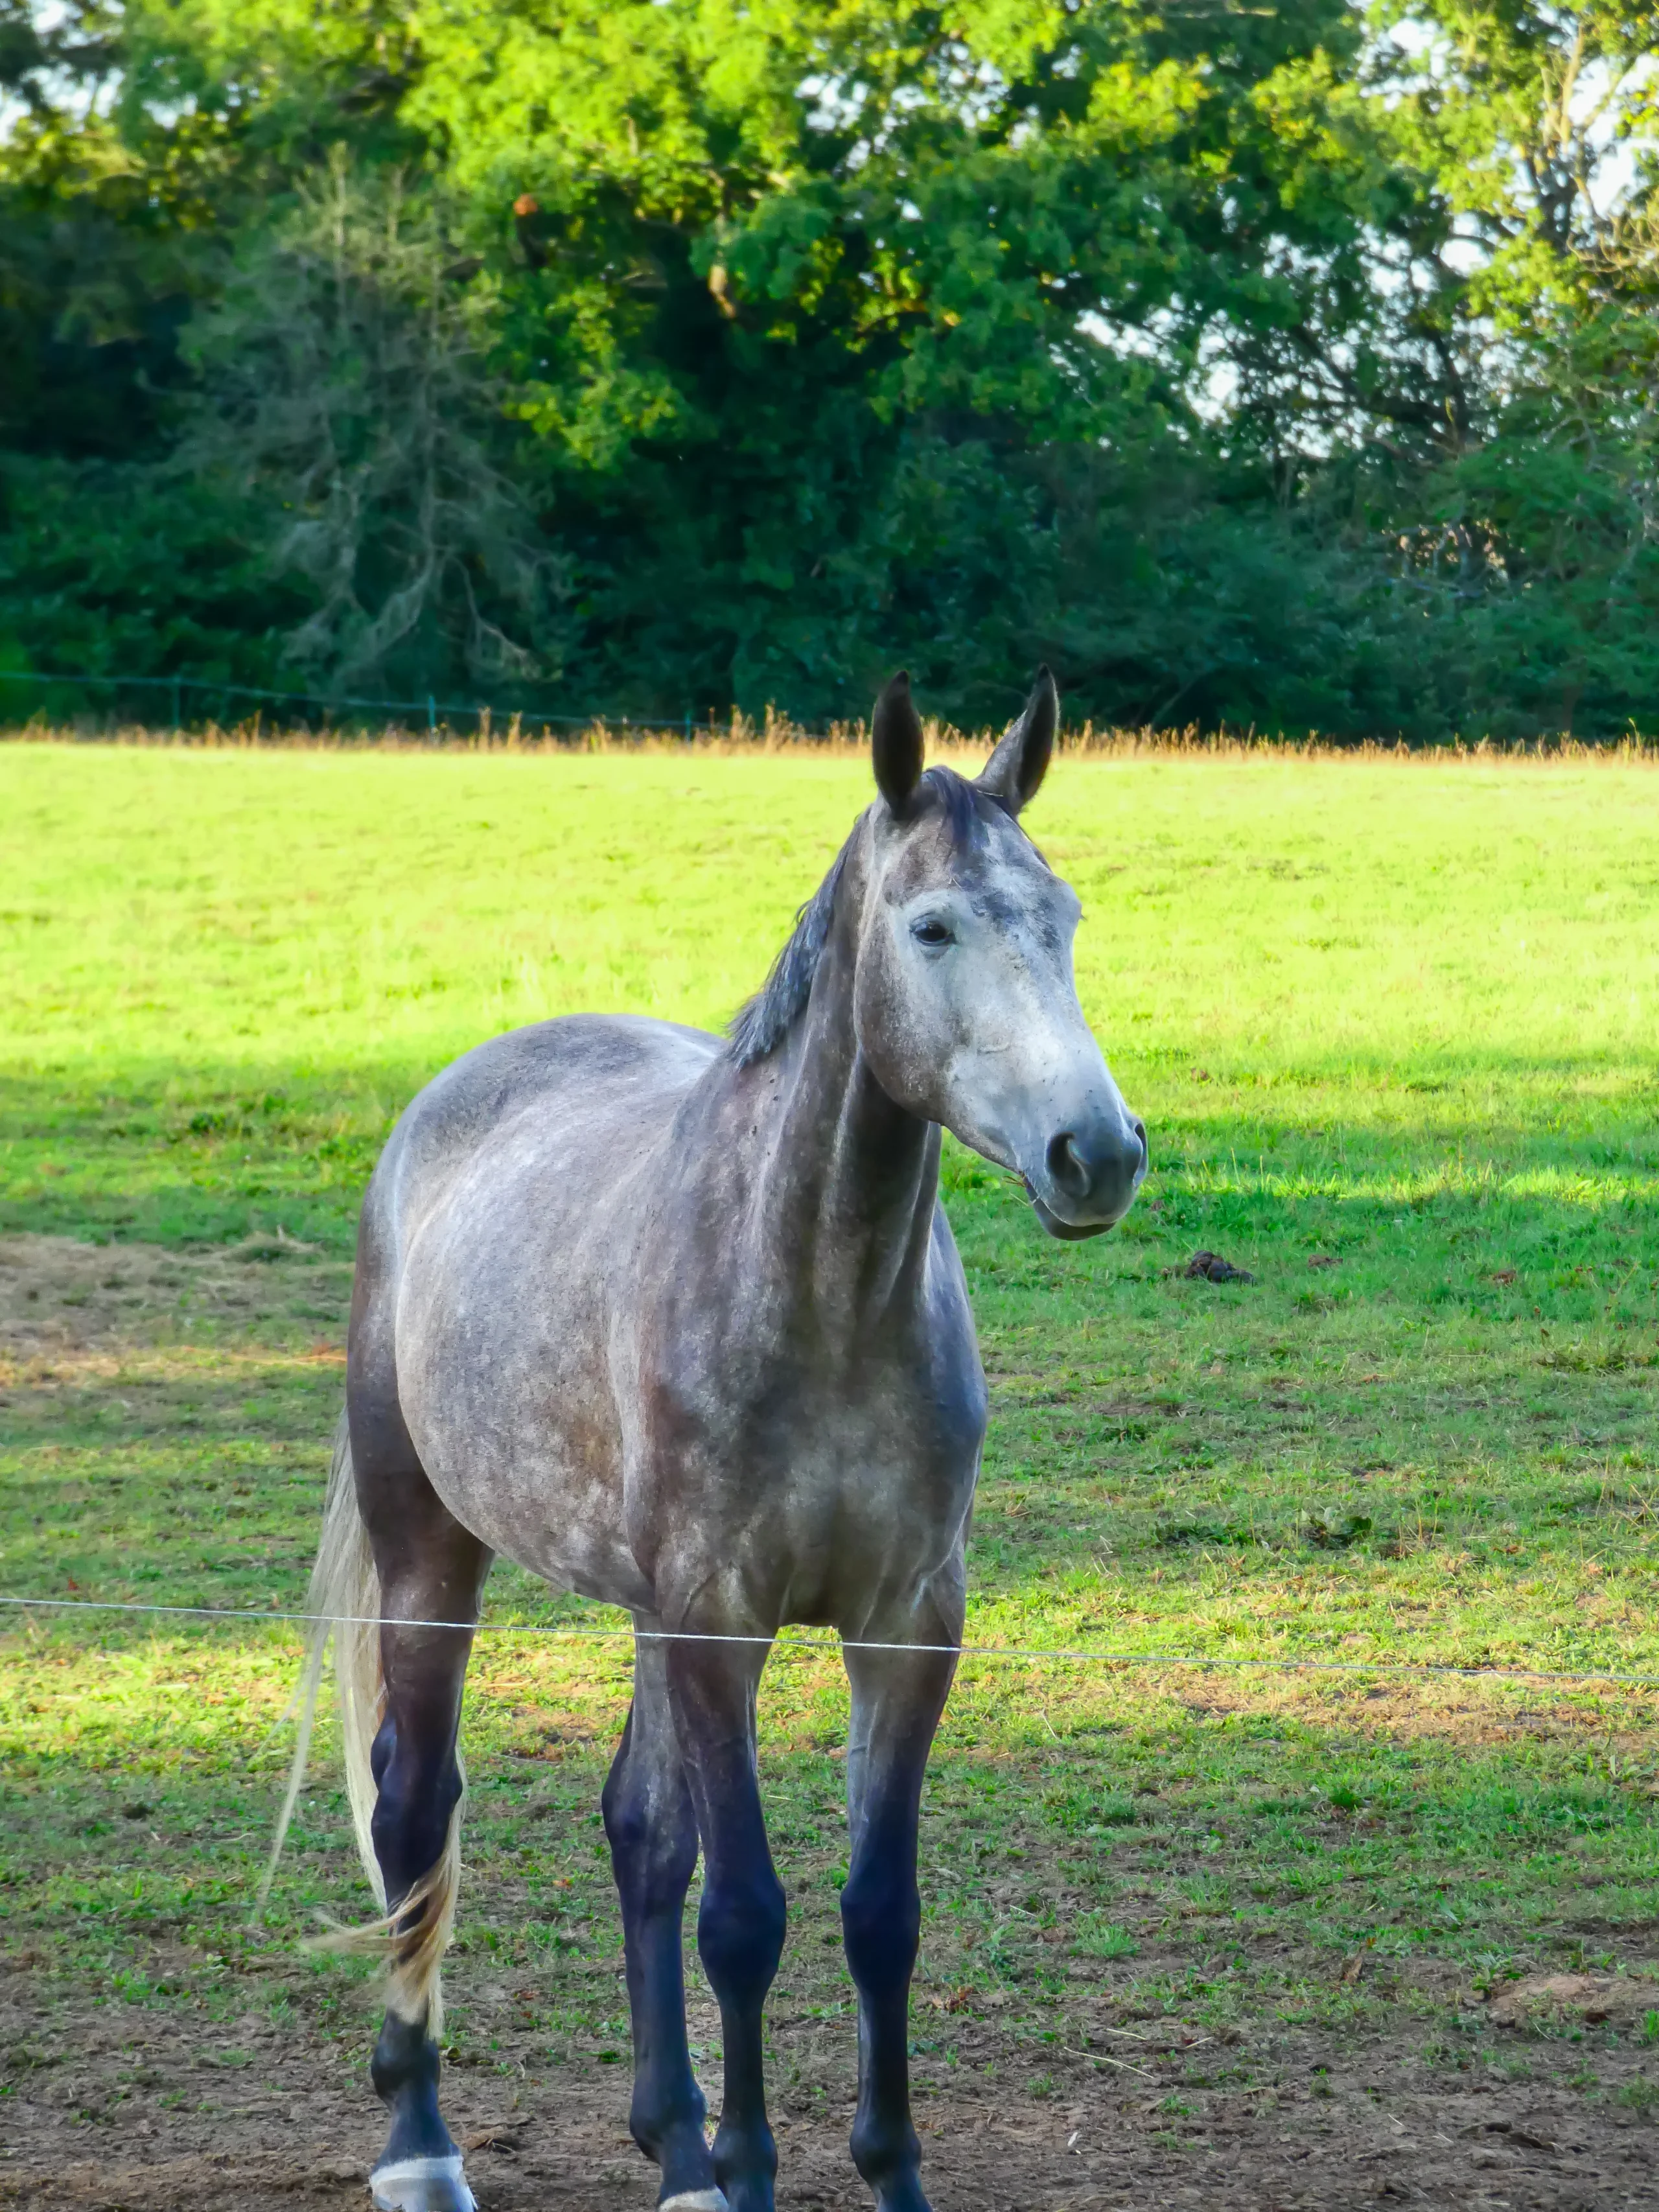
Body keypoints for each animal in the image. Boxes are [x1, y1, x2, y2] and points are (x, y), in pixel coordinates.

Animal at [274, 667, 1146, 2212]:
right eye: (932, 926)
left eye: (1063, 917)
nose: (1093, 1154)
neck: (820, 1296)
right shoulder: (718, 1615)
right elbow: (744, 1910)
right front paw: (749, 2167)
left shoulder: (907, 1622)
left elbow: (876, 1909)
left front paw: (876, 2169)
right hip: (434, 1548)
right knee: (414, 1811)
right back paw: (423, 2145)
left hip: (642, 1608)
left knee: (638, 1831)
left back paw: (670, 2138)